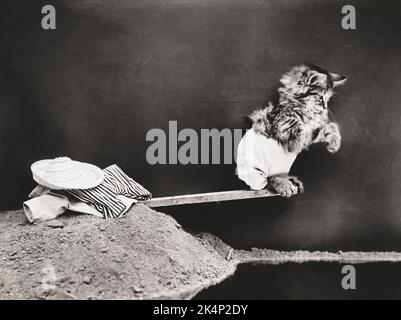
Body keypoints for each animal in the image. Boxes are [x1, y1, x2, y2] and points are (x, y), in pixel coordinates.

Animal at [248, 63, 346, 196]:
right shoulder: (275, 123)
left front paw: (334, 145)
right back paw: (283, 184)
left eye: (328, 99)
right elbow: (297, 123)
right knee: (265, 182)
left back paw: (291, 180)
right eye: (320, 98)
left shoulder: (311, 133)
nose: (325, 107)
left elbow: (331, 126)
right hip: (258, 171)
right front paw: (294, 147)